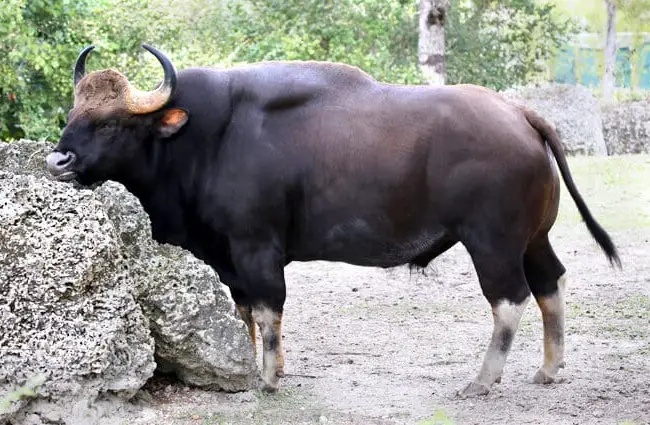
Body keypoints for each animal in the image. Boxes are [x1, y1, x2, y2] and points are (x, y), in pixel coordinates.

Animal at [45, 44, 616, 396]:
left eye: (112, 123)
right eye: (72, 114)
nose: (58, 161)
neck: (206, 138)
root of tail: (520, 113)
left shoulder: (256, 247)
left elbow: (268, 311)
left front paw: (269, 379)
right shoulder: (229, 258)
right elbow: (245, 314)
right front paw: (250, 367)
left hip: (492, 241)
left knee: (509, 300)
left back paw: (483, 380)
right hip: (533, 238)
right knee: (550, 284)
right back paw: (549, 370)